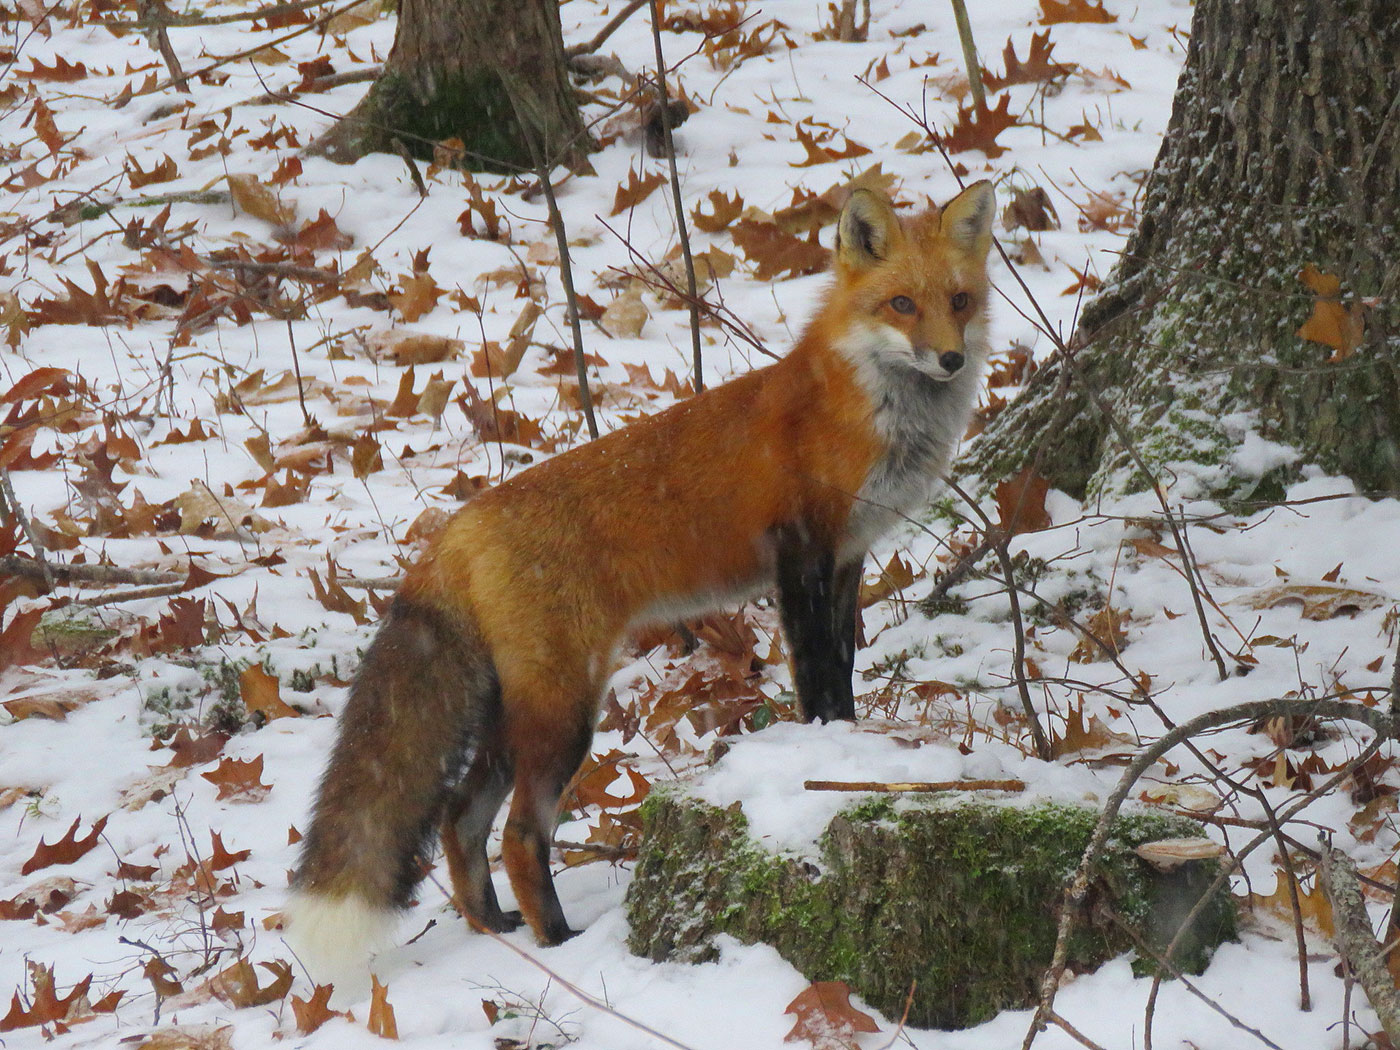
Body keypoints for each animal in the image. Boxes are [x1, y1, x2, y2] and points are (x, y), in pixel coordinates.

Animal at [287, 180, 996, 980]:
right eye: (901, 304)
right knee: (518, 832)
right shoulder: (801, 556)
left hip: (516, 711)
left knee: (459, 818)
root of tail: (458, 527)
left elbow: (841, 674)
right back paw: (559, 941)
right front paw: (822, 752)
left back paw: (494, 926)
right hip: (567, 709)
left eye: (960, 300)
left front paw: (848, 746)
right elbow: (814, 677)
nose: (949, 358)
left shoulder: (847, 560)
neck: (863, 414)